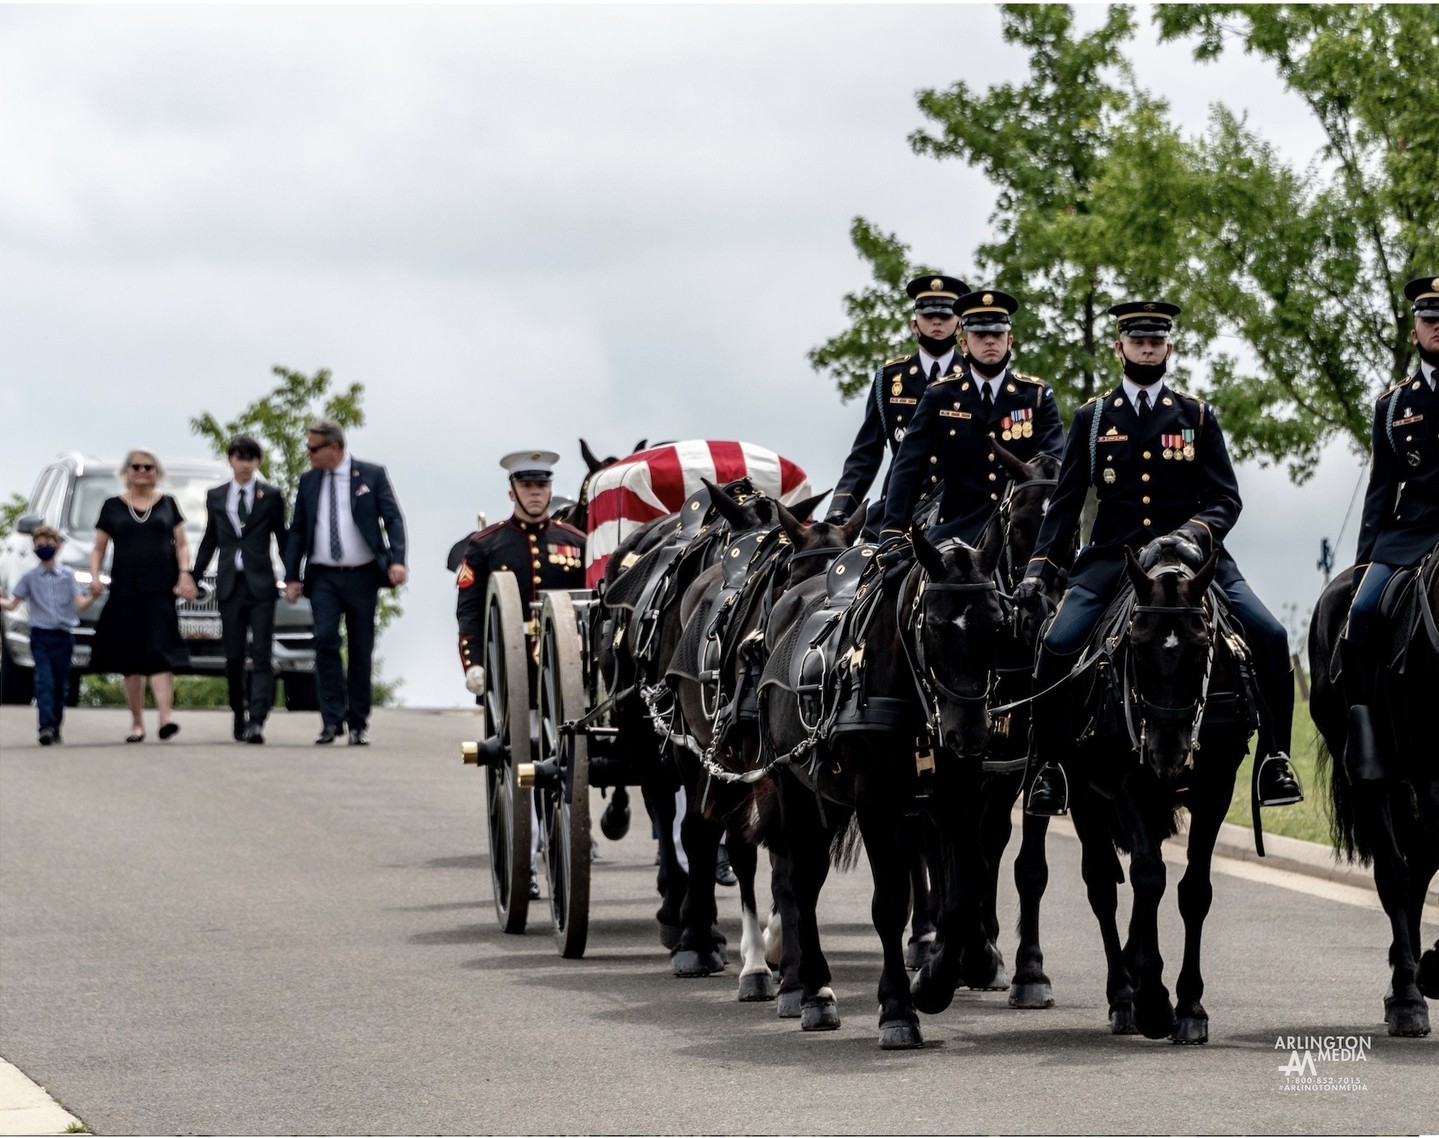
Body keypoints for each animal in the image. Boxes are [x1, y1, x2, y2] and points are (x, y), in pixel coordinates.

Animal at [759, 526, 1007, 1053]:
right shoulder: (876, 806)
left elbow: (962, 893)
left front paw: (934, 983)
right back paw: (813, 991)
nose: (968, 735)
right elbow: (890, 904)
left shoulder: (957, 801)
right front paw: (898, 1007)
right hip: (795, 790)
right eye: (936, 626)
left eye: (998, 625)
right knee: (802, 883)